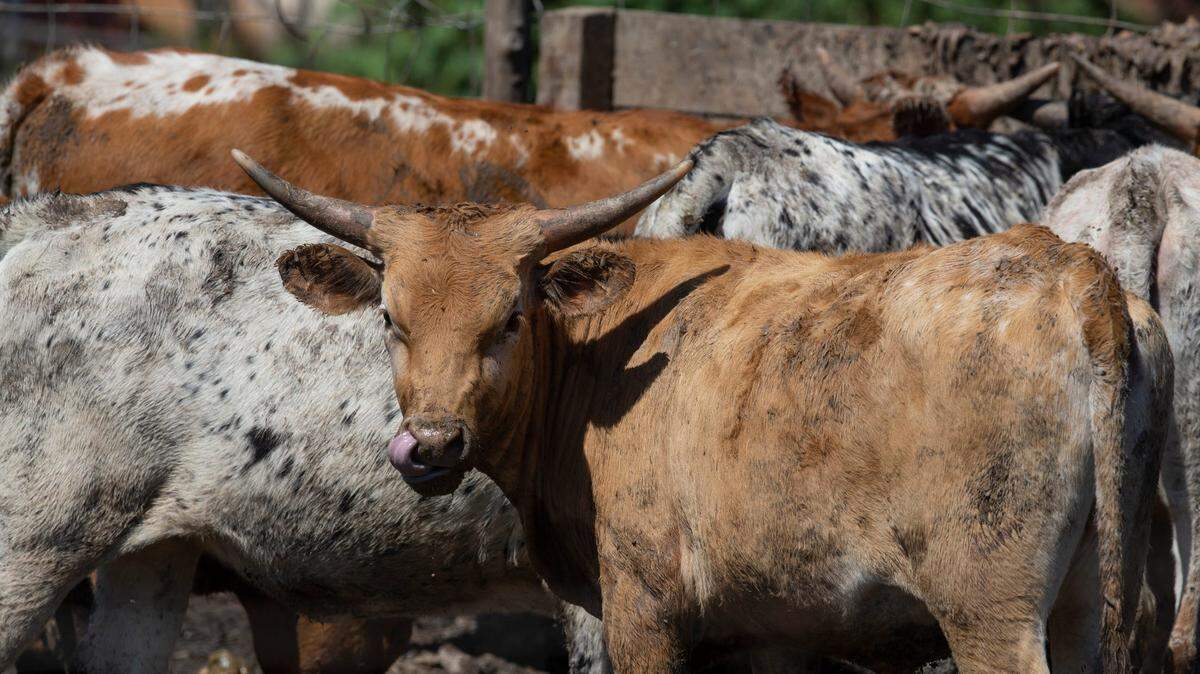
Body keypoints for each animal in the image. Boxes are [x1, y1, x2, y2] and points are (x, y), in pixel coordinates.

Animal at [236, 149, 1173, 672]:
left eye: (508, 318)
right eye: (390, 319)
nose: (430, 445)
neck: (595, 363)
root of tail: (1077, 276)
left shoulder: (644, 608)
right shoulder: (774, 629)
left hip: (991, 613)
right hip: (1089, 603)